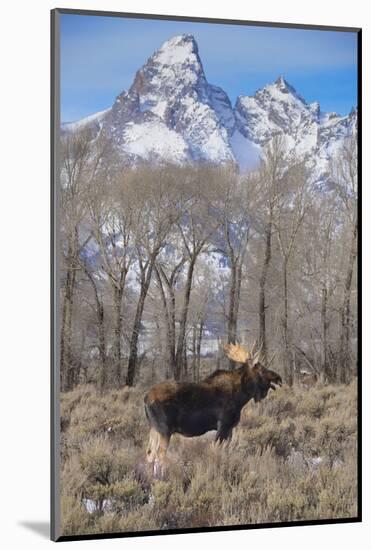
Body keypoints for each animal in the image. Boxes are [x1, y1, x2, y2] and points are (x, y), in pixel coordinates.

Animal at [144, 342, 284, 472]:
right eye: (262, 369)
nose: (279, 377)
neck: (241, 396)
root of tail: (145, 399)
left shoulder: (230, 428)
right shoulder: (223, 424)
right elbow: (217, 450)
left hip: (154, 428)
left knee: (150, 453)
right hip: (164, 429)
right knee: (159, 455)